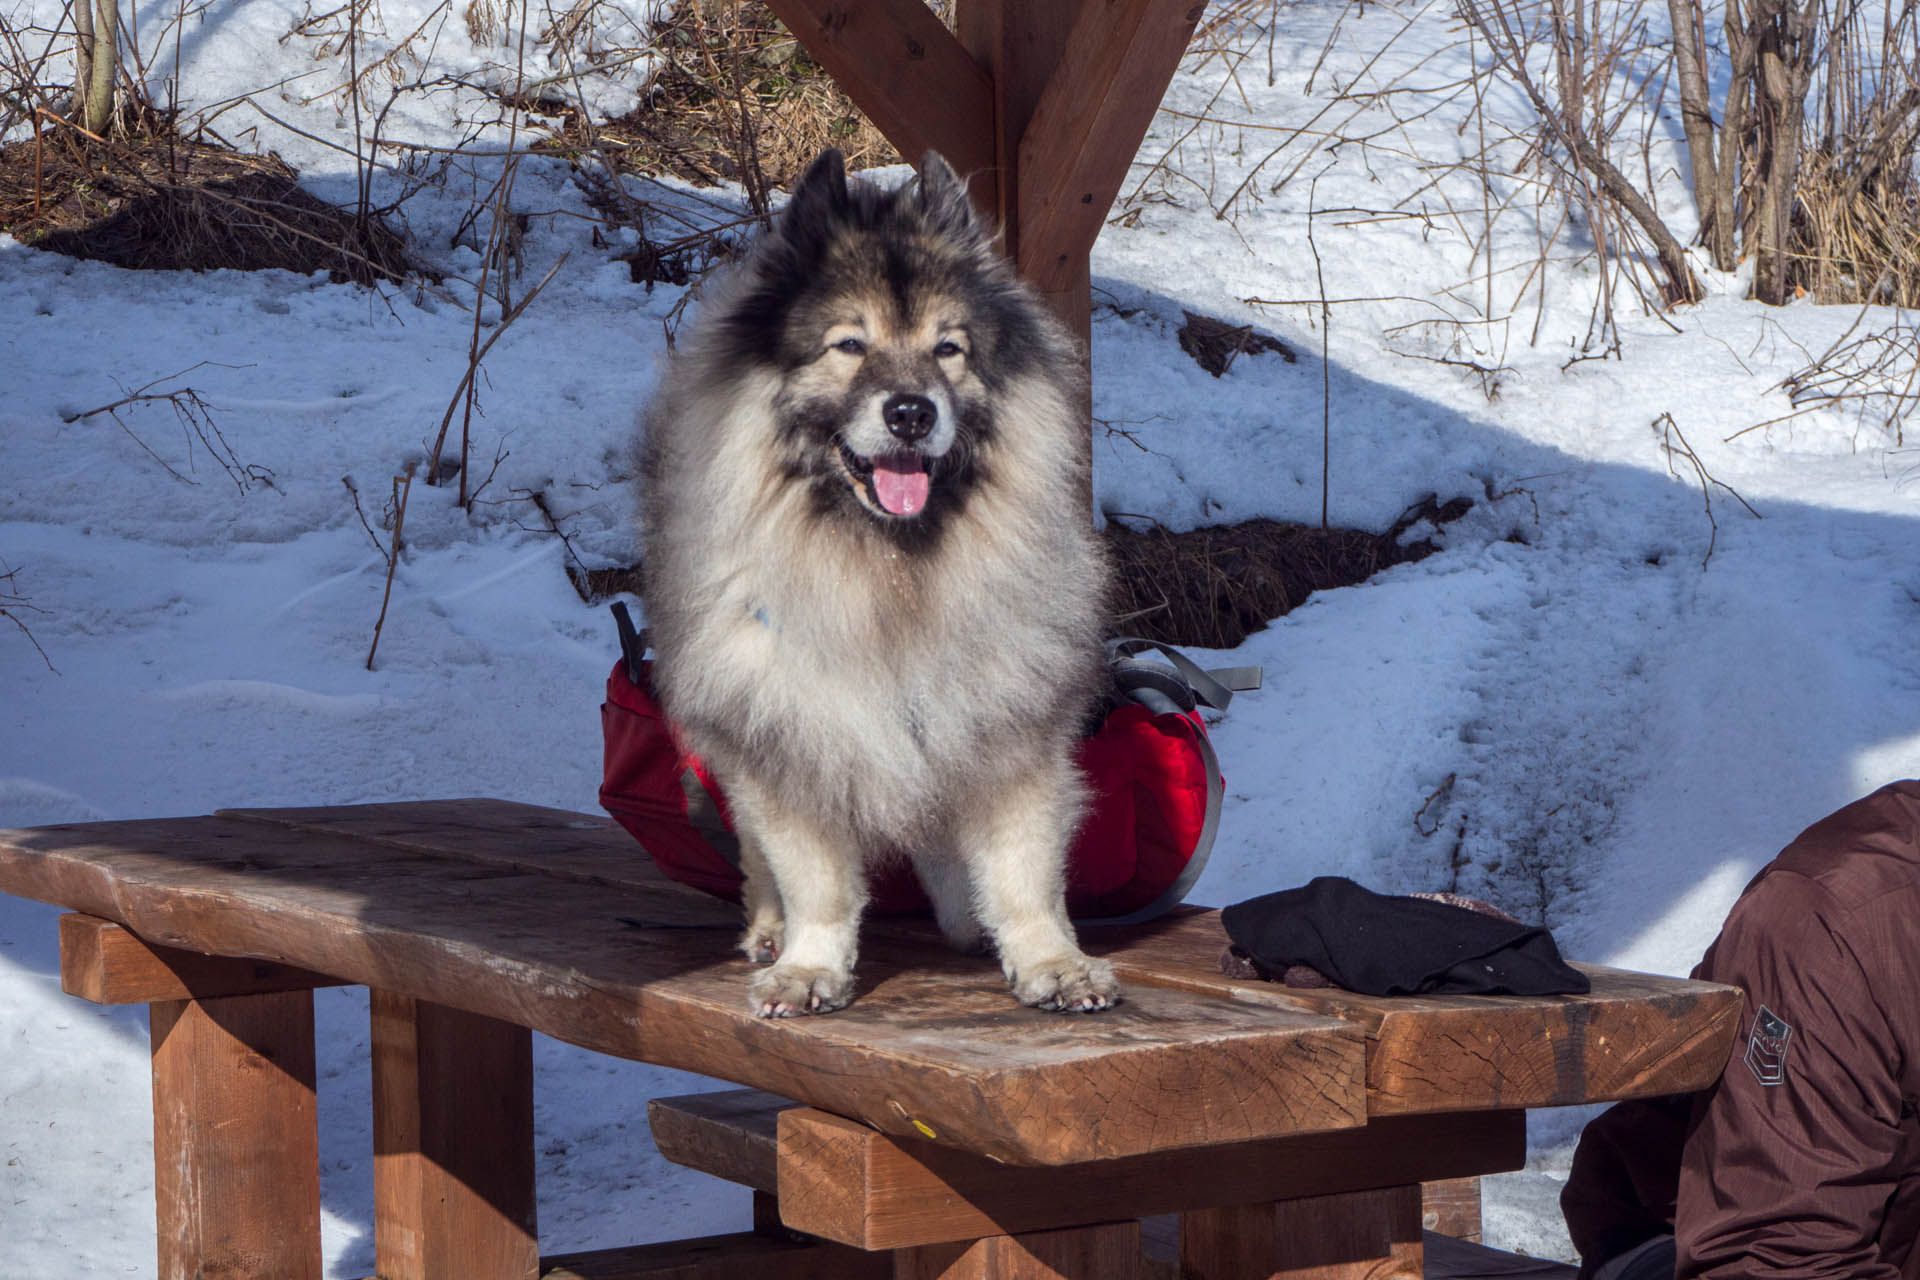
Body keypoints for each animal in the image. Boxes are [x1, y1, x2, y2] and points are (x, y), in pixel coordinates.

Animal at [637, 144, 1121, 1013]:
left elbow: (1025, 870)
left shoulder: (1011, 728)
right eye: (849, 346)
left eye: (948, 349)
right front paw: (810, 965)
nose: (910, 413)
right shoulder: (787, 735)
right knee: (755, 850)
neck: (890, 566)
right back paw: (770, 930)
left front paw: (1050, 960)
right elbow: (816, 880)